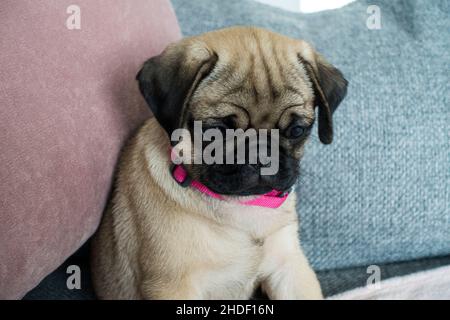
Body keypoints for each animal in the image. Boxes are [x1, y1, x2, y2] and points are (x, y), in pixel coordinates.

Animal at [90, 25, 348, 300]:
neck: (241, 207)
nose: (262, 153)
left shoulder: (289, 267)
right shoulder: (173, 286)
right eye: (218, 131)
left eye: (297, 130)